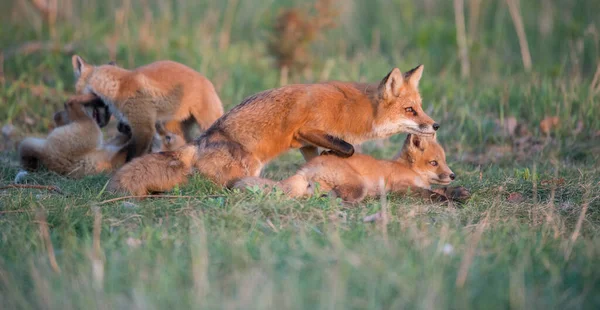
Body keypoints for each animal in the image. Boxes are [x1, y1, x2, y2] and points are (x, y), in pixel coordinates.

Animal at [18, 93, 184, 178]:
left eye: (168, 138)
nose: (158, 124)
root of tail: (49, 158)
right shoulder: (115, 144)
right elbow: (126, 137)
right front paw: (125, 127)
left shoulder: (121, 153)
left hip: (91, 128)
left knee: (71, 102)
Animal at [71, 55, 225, 161]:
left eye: (78, 94)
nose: (102, 125)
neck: (118, 87)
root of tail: (207, 81)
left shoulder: (144, 128)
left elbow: (131, 157)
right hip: (173, 126)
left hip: (207, 123)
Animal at [108, 65, 438, 196]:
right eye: (410, 110)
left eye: (419, 107)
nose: (434, 125)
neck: (351, 110)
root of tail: (197, 143)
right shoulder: (307, 129)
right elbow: (348, 147)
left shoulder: (305, 141)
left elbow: (320, 159)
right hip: (247, 167)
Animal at [232, 134, 472, 203]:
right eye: (434, 163)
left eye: (444, 161)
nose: (452, 175)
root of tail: (306, 167)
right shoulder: (402, 187)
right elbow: (431, 194)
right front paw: (448, 201)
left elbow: (439, 189)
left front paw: (458, 192)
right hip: (359, 186)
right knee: (331, 197)